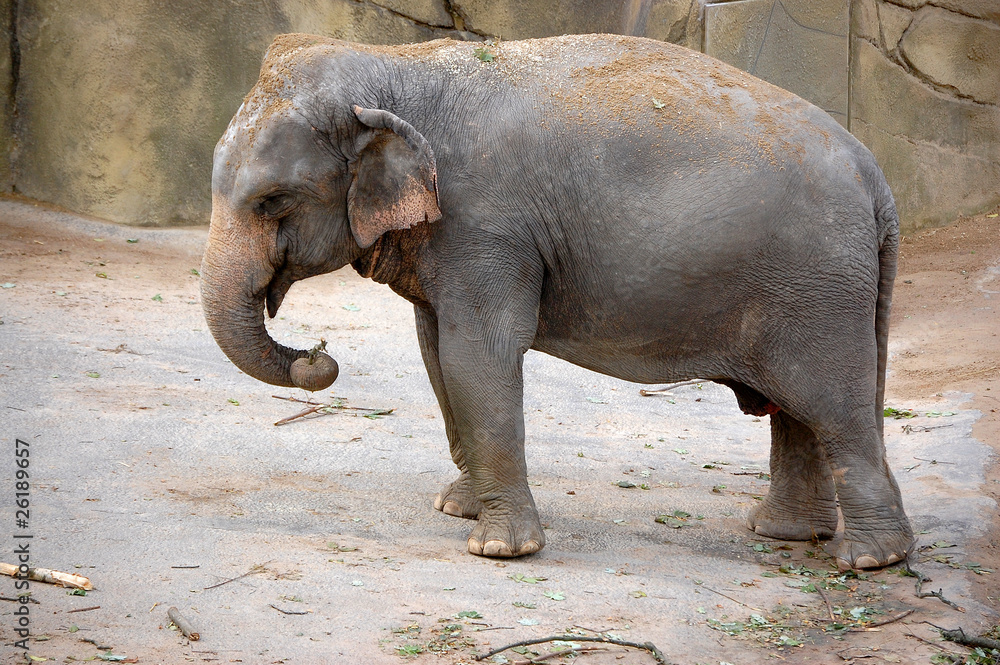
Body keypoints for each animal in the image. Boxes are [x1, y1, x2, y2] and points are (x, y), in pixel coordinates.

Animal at [203, 32, 916, 572]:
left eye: (273, 201)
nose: (319, 355)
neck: (395, 64)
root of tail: (878, 182)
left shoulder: (484, 225)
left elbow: (477, 355)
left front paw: (498, 549)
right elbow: (437, 354)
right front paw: (458, 507)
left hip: (816, 284)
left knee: (830, 403)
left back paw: (870, 559)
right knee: (797, 410)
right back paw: (787, 534)